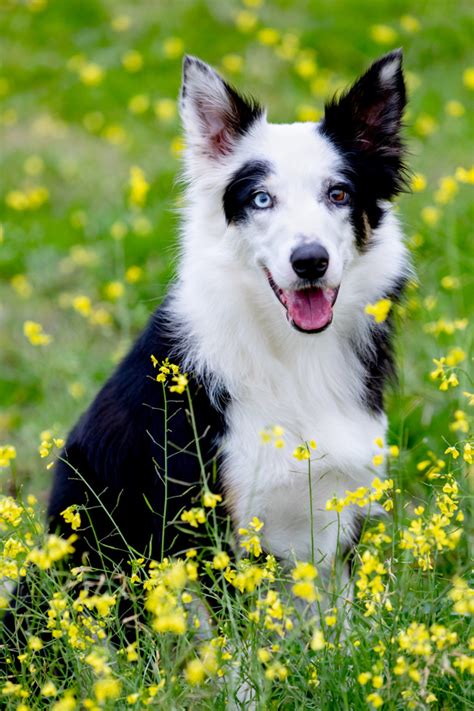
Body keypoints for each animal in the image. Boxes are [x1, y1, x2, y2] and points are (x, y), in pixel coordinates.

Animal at [6, 50, 412, 624]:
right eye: (261, 199)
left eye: (339, 194)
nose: (310, 261)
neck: (291, 354)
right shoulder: (209, 524)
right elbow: (235, 640)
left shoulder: (337, 516)